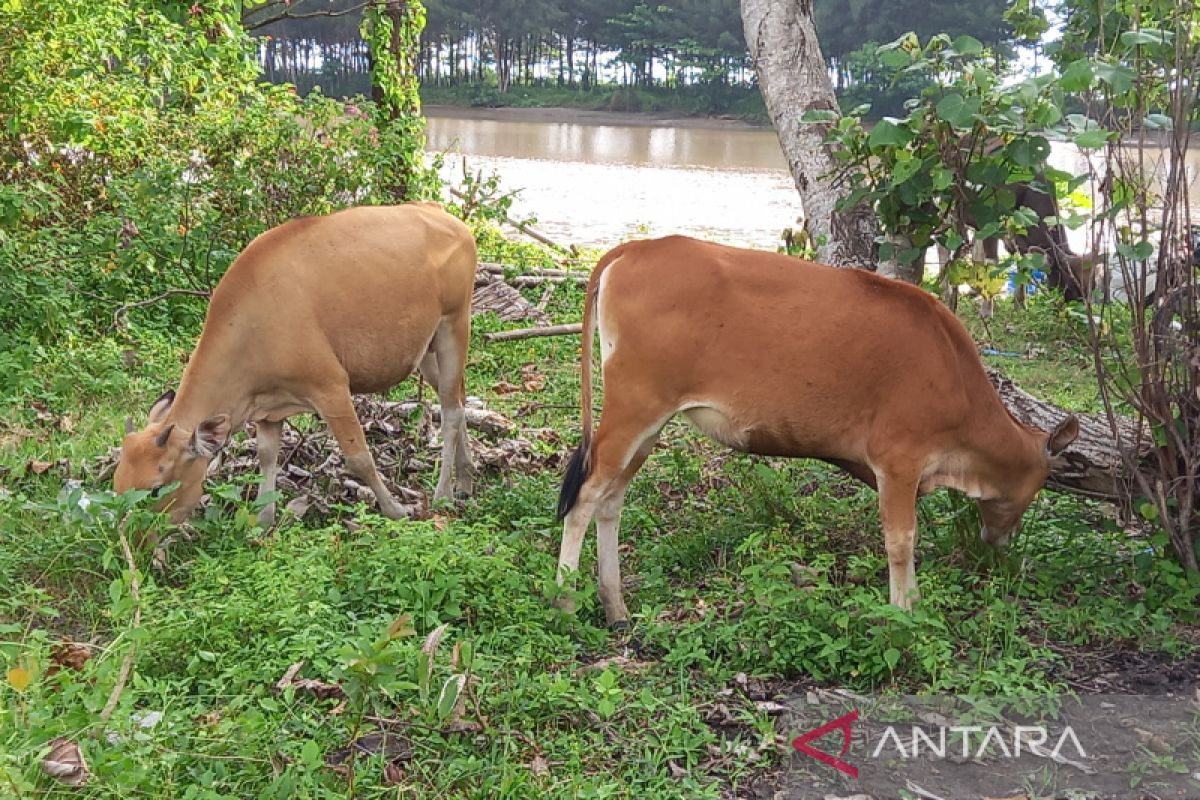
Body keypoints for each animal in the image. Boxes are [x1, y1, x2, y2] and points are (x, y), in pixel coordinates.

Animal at [114, 200, 475, 525]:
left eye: (155, 489)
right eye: (117, 487)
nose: (135, 542)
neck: (252, 320)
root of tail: (441, 214)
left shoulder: (331, 387)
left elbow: (359, 458)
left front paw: (395, 510)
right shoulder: (266, 407)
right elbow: (266, 458)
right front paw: (263, 520)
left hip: (454, 325)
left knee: (450, 412)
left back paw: (444, 493)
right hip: (425, 350)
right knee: (457, 398)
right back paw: (467, 478)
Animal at [556, 236, 1084, 623]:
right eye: (1041, 483)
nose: (998, 540)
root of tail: (637, 247)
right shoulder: (899, 460)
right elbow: (900, 540)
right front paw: (903, 611)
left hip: (647, 426)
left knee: (611, 500)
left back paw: (615, 606)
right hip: (634, 408)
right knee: (584, 496)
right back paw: (564, 597)